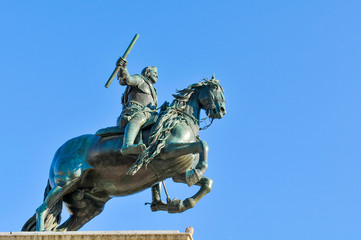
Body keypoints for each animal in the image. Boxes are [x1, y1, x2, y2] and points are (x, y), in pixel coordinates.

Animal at [21, 76, 225, 231]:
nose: (221, 110)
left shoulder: (177, 172)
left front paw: (183, 202)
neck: (178, 120)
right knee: (42, 209)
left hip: (88, 206)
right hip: (66, 183)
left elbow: (207, 183)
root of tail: (58, 152)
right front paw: (199, 170)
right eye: (215, 88)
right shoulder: (166, 151)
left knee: (62, 228)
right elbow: (203, 144)